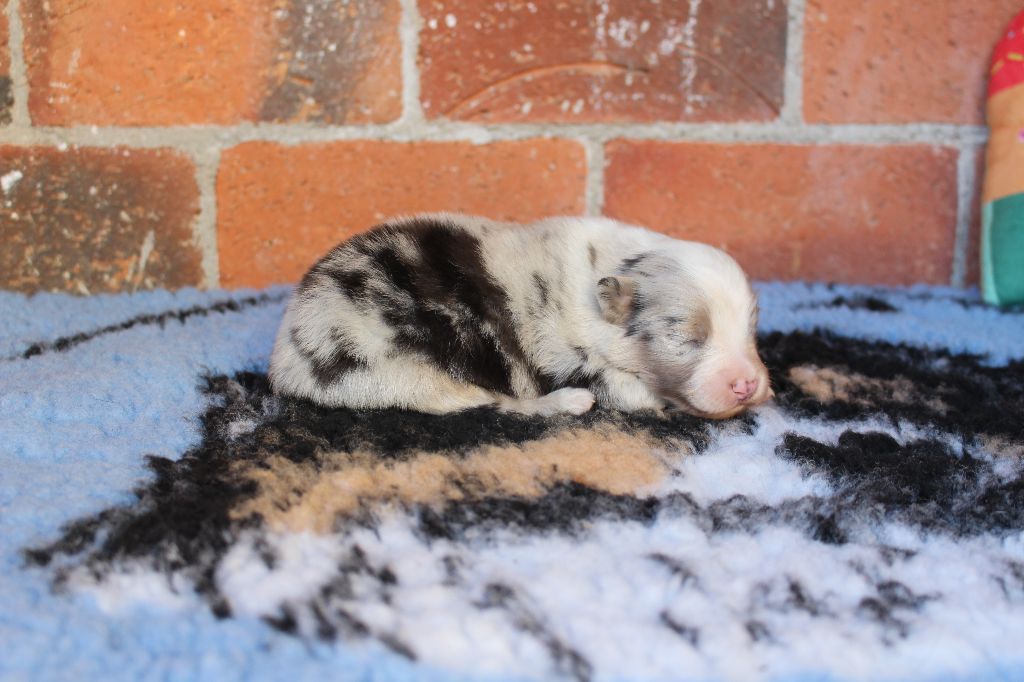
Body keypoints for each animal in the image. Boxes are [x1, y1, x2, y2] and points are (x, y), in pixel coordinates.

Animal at [268, 212, 770, 417]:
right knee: (496, 405)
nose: (747, 385)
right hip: (406, 375)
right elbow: (631, 391)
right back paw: (567, 403)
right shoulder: (570, 357)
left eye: (751, 330)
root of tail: (289, 362)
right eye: (685, 338)